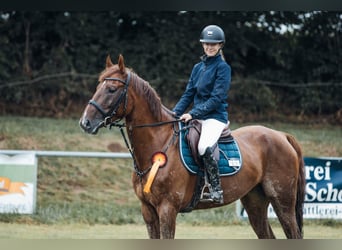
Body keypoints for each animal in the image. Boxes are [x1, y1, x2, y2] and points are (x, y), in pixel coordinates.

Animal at [79, 54, 304, 238]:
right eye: (97, 87)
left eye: (111, 89)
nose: (85, 123)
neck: (158, 143)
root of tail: (281, 135)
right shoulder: (148, 211)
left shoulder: (167, 209)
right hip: (255, 202)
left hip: (283, 201)